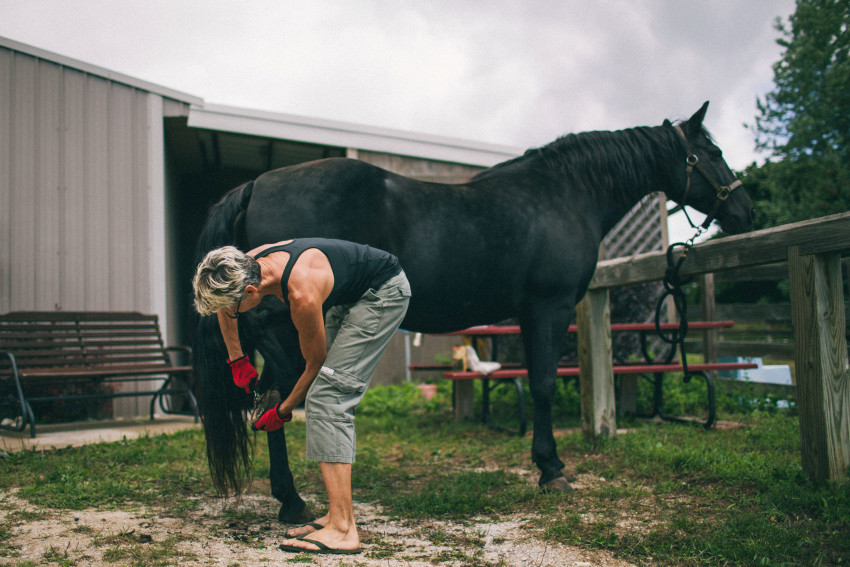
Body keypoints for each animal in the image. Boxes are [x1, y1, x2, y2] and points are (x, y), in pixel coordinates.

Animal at [190, 100, 748, 520]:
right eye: (712, 151)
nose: (745, 211)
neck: (565, 194)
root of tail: (257, 184)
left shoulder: (526, 313)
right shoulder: (549, 306)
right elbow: (544, 384)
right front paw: (551, 469)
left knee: (267, 396)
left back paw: (289, 500)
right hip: (290, 322)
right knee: (275, 392)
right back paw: (293, 499)